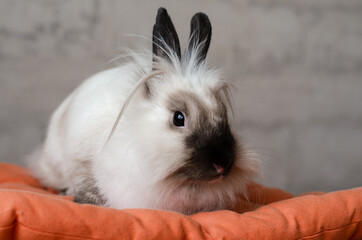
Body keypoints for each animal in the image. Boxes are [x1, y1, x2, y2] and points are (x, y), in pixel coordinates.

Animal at [29, 7, 258, 215]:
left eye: (224, 114)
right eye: (178, 118)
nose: (223, 165)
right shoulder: (83, 161)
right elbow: (88, 185)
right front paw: (84, 201)